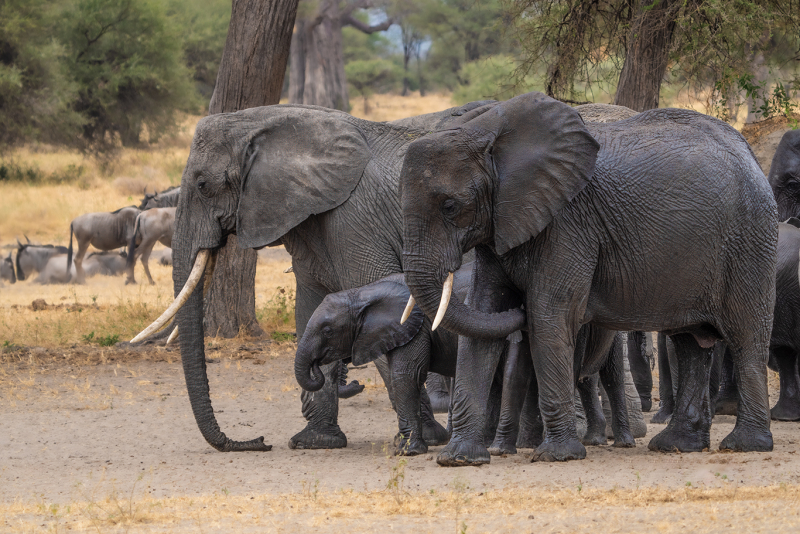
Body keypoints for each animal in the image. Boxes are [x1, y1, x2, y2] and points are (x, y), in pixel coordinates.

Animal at [131, 100, 498, 453]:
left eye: (203, 185)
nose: (258, 441)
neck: (270, 120)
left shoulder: (356, 221)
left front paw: (424, 438)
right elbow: (310, 310)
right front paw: (316, 441)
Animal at [399, 92, 777, 466]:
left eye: (450, 206)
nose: (519, 309)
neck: (488, 132)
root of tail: (750, 154)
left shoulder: (568, 221)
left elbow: (550, 313)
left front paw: (557, 456)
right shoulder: (501, 224)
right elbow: (484, 313)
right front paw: (458, 458)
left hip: (750, 239)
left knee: (745, 337)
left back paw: (744, 445)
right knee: (690, 344)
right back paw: (676, 445)